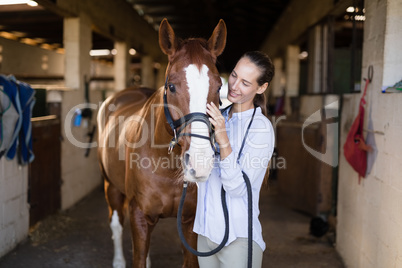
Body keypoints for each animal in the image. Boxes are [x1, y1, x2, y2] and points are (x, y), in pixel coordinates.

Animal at [97, 19, 226, 268]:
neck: (167, 165)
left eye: (218, 87)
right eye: (172, 86)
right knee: (116, 223)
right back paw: (118, 260)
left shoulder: (189, 221)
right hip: (111, 186)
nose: (200, 163)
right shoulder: (139, 215)